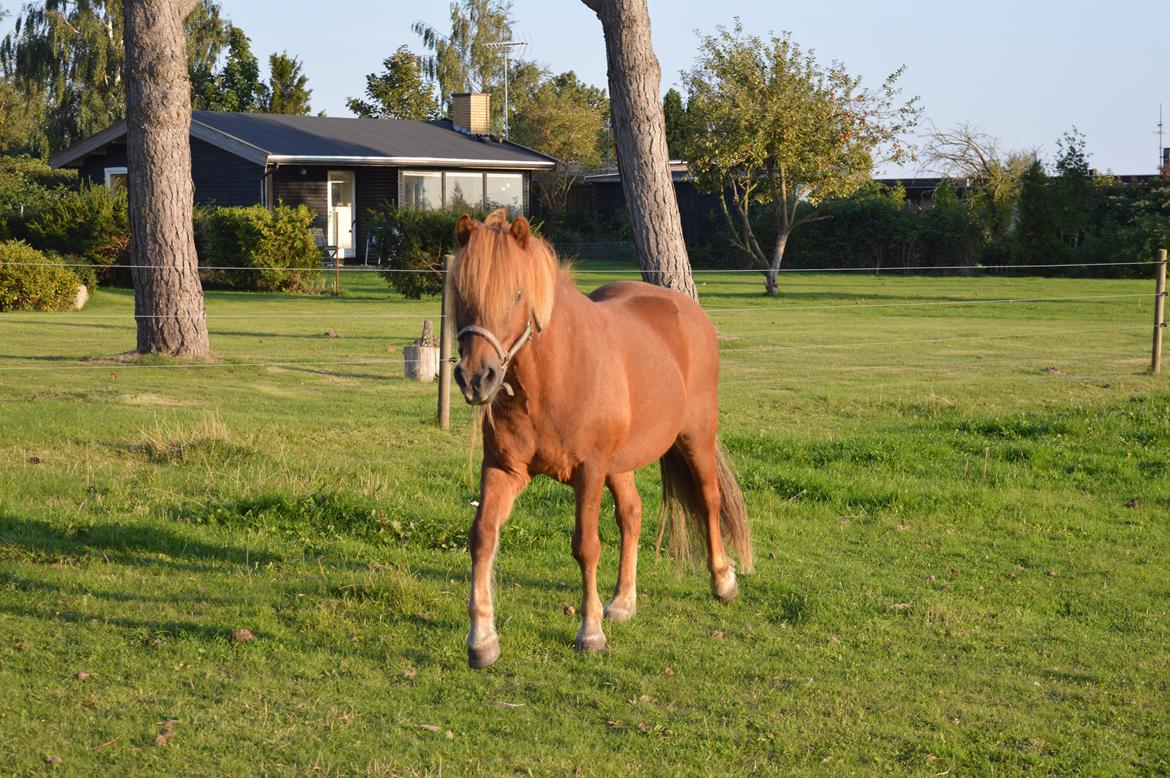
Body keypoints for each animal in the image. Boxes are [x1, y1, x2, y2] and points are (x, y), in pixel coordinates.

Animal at [446, 208, 748, 669]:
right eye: (462, 293)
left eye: (517, 294)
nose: (477, 378)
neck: (553, 376)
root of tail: (686, 310)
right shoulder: (503, 469)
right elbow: (482, 537)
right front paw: (482, 639)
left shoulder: (588, 472)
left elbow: (585, 547)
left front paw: (589, 632)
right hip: (620, 464)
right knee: (632, 513)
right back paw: (623, 600)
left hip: (696, 436)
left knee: (709, 500)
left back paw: (722, 581)